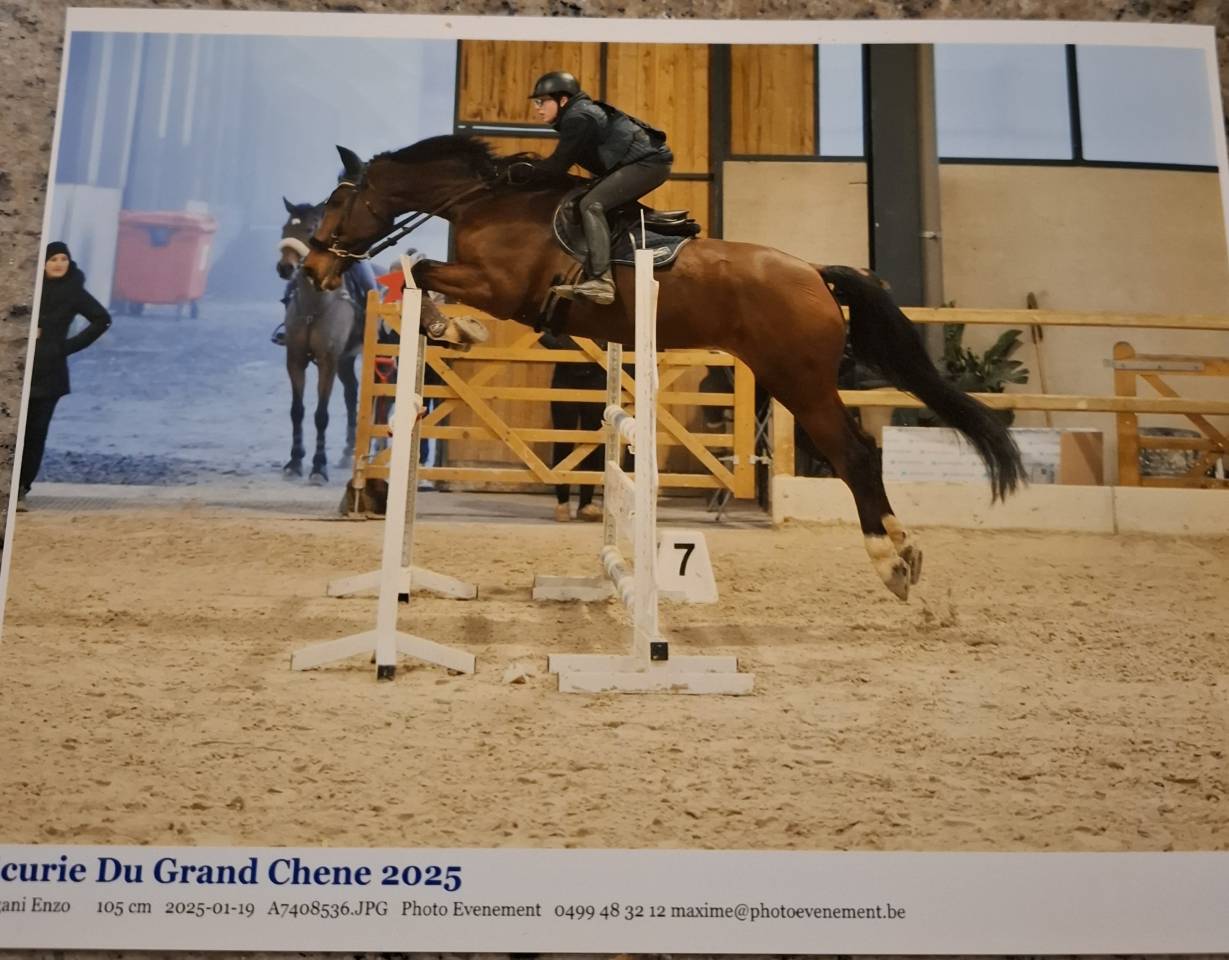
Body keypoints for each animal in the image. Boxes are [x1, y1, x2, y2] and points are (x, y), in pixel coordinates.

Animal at [277, 198, 362, 485]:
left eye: (310, 229)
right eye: (285, 228)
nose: (285, 268)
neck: (314, 307)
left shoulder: (328, 362)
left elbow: (321, 415)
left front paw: (318, 466)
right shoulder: (295, 360)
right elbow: (297, 410)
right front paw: (294, 462)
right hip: (346, 361)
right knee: (351, 392)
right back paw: (348, 452)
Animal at [301, 138, 1025, 601]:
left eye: (336, 202)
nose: (312, 267)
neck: (487, 201)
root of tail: (815, 274)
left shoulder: (500, 287)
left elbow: (423, 270)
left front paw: (451, 326)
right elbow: (424, 272)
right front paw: (450, 326)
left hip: (800, 382)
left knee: (854, 456)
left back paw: (891, 561)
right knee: (859, 454)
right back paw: (902, 552)